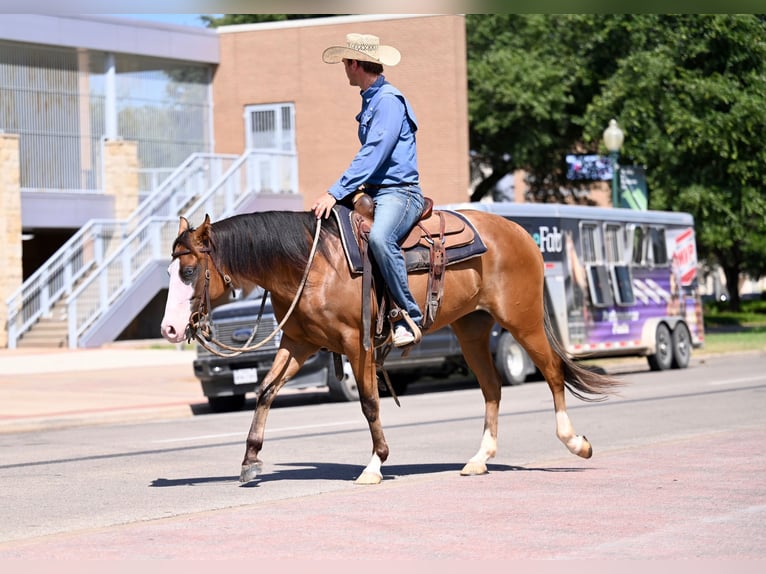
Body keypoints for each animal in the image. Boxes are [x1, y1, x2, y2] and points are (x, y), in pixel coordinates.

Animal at [162, 207, 624, 486]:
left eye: (189, 272)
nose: (169, 328)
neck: (311, 265)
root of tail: (519, 232)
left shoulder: (357, 343)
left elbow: (369, 402)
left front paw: (375, 463)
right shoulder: (299, 343)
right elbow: (265, 391)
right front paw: (250, 460)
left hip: (522, 321)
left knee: (552, 373)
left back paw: (575, 443)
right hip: (472, 330)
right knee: (492, 389)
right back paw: (480, 459)